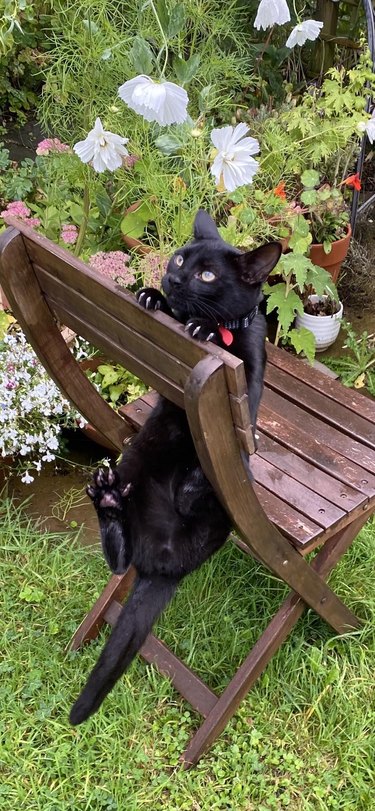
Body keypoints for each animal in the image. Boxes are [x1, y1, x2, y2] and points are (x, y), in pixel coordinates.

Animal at [70, 211, 282, 728]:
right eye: (183, 259)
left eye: (207, 275)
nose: (173, 276)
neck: (222, 329)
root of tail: (161, 562)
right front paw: (152, 297)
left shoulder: (247, 387)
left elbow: (239, 364)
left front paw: (198, 327)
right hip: (132, 464)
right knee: (121, 559)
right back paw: (110, 503)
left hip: (220, 507)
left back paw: (187, 490)